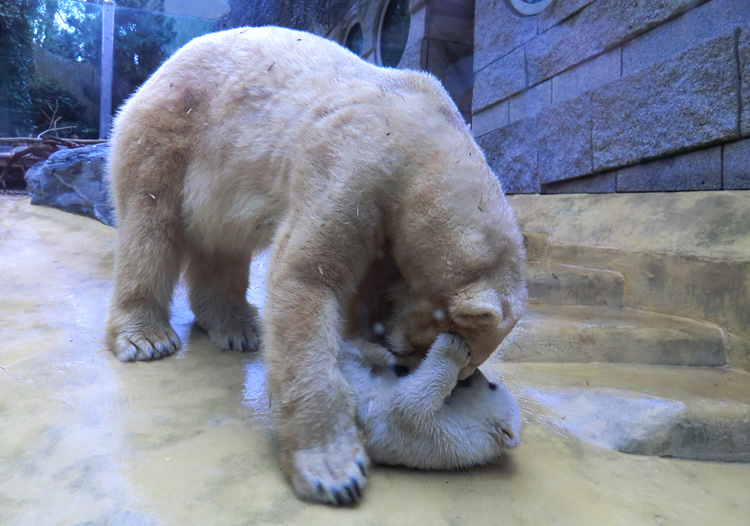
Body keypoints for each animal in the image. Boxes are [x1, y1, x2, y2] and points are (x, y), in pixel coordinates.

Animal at [107, 27, 528, 508]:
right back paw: (147, 337)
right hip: (175, 130)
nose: (397, 365)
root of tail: (156, 73)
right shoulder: (356, 166)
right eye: (418, 351)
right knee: (151, 223)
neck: (428, 143)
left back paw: (237, 327)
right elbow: (307, 280)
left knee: (223, 244)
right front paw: (333, 469)